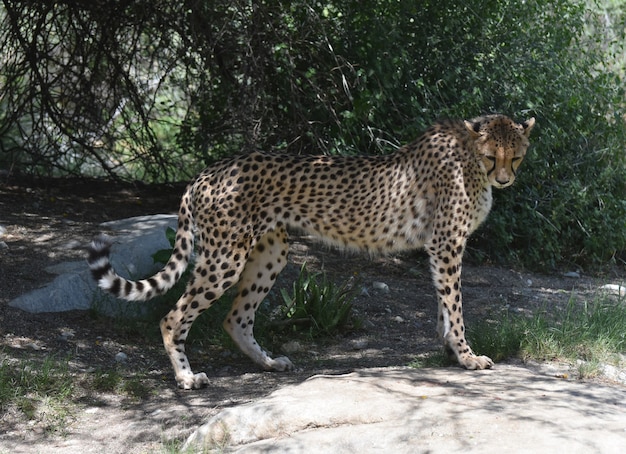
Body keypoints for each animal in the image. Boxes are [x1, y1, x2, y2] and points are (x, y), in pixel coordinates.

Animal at [88, 114, 532, 390]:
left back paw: (268, 363)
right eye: (492, 156)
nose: (505, 180)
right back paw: (185, 377)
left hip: (270, 252)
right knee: (173, 316)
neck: (470, 156)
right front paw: (467, 356)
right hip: (225, 257)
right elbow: (455, 305)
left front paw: (450, 351)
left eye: (516, 156)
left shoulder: (442, 247)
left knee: (235, 318)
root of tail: (208, 171)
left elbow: (445, 303)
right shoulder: (446, 244)